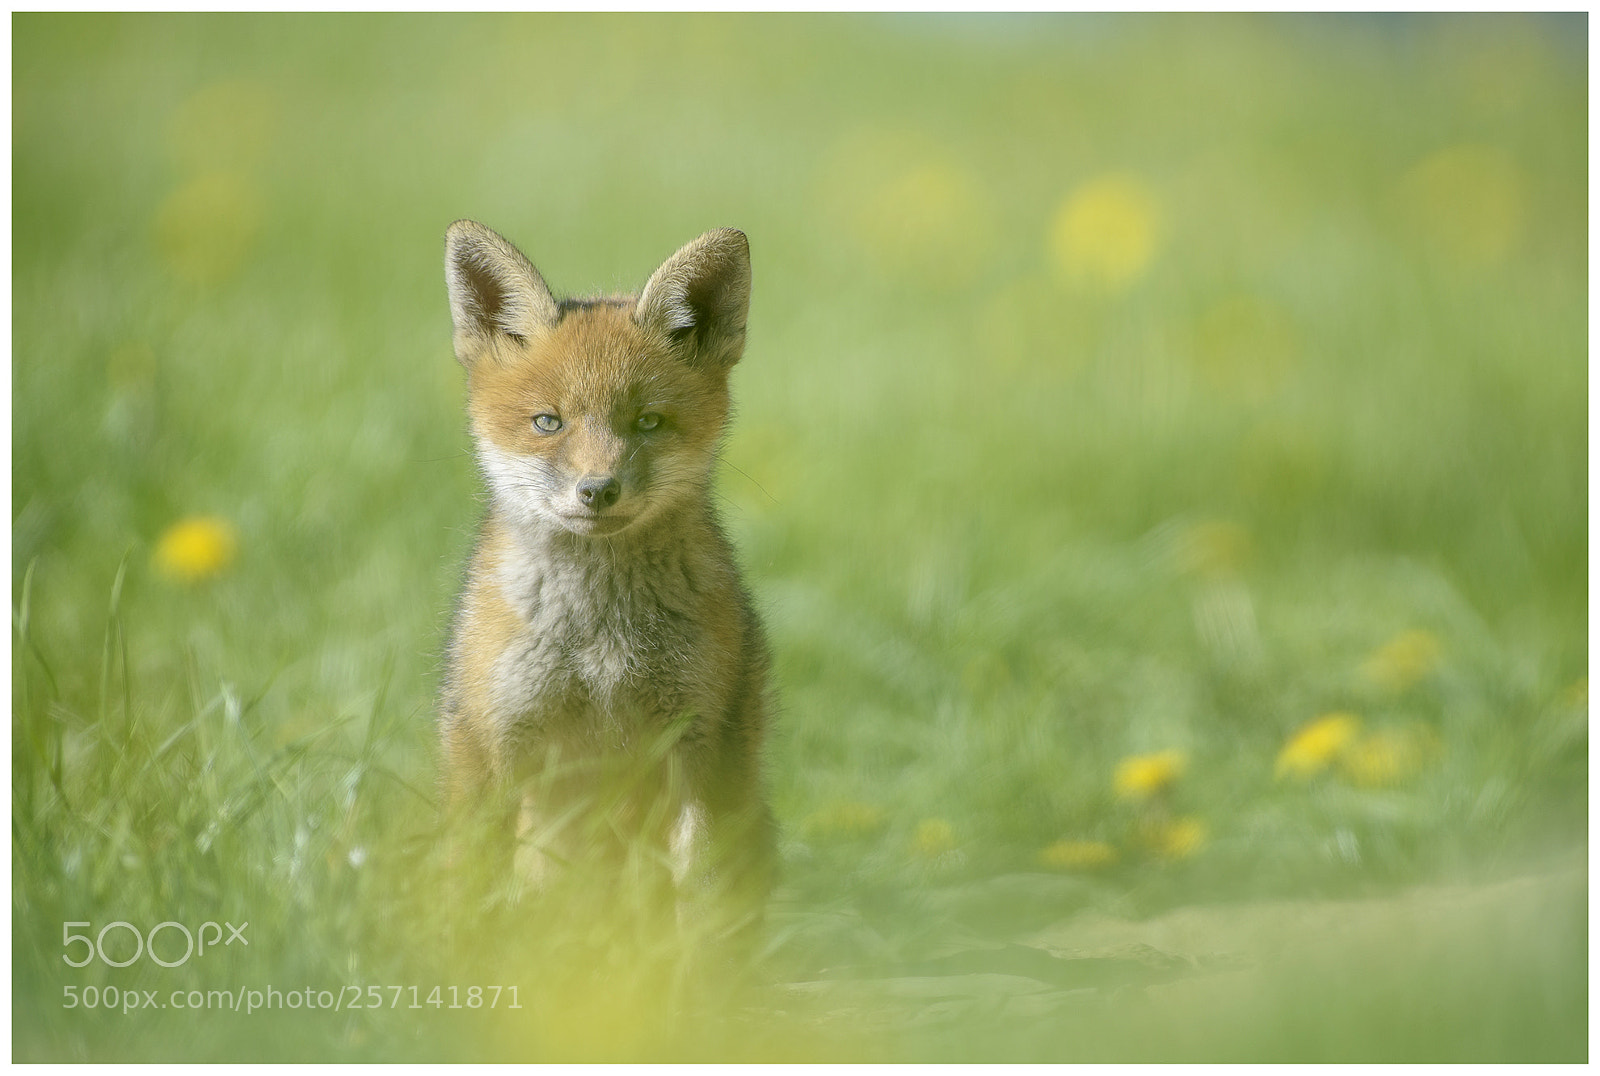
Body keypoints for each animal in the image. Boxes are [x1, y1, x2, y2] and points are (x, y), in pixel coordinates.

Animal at [437, 220, 774, 929]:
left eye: (647, 422)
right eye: (548, 421)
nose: (597, 490)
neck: (600, 643)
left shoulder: (701, 745)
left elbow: (701, 904)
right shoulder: (494, 742)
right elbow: (474, 890)